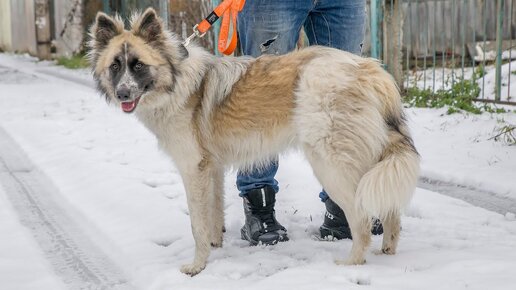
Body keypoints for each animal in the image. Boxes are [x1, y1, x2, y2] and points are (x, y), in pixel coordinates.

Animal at [87, 7, 420, 276]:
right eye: (115, 66)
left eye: (138, 65)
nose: (123, 94)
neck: (175, 80)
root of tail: (369, 69)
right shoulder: (212, 169)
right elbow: (213, 213)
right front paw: (215, 246)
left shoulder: (193, 170)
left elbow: (196, 223)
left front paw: (197, 266)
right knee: (390, 209)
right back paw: (388, 250)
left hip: (331, 162)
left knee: (362, 217)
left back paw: (352, 262)